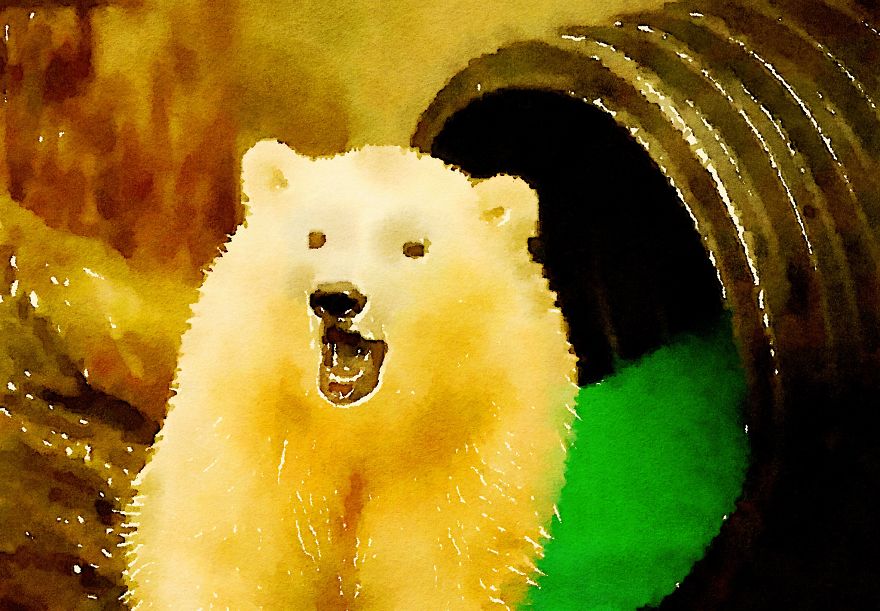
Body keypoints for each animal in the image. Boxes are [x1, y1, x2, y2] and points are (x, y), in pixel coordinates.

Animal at [123, 141, 579, 610]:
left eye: (414, 248)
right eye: (316, 237)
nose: (337, 298)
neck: (357, 423)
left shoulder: (468, 450)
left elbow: (438, 572)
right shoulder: (251, 424)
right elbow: (223, 555)